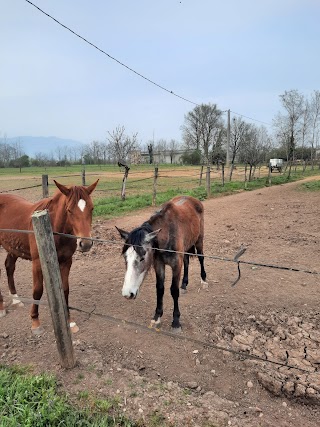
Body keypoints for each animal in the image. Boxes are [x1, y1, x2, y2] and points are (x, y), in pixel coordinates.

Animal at [0, 180, 98, 334]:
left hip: (13, 248)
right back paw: (2, 308)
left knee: (9, 267)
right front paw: (35, 321)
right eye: (69, 210)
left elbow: (65, 289)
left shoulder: (66, 262)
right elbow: (37, 291)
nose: (86, 244)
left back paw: (16, 300)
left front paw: (70, 321)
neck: (53, 230)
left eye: (92, 208)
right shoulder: (37, 263)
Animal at [116, 196, 209, 332]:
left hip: (199, 240)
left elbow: (174, 290)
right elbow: (160, 289)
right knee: (186, 261)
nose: (128, 294)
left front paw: (176, 321)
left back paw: (204, 280)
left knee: (201, 258)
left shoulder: (176, 265)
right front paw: (157, 317)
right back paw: (184, 285)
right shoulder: (159, 264)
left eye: (142, 257)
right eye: (125, 258)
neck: (167, 233)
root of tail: (194, 200)